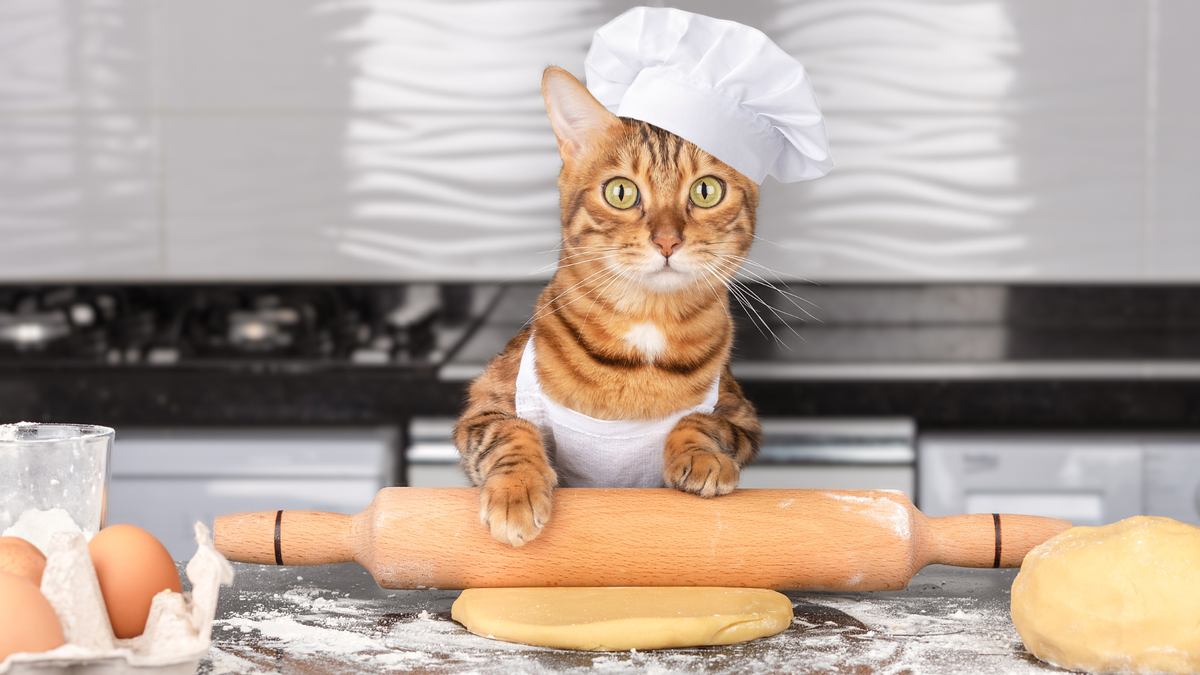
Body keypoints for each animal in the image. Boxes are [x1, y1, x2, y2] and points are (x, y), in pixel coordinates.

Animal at [451, 65, 758, 542]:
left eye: (706, 191)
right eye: (621, 192)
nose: (667, 241)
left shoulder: (741, 416)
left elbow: (703, 422)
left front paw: (701, 454)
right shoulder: (483, 406)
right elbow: (511, 431)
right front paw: (516, 491)